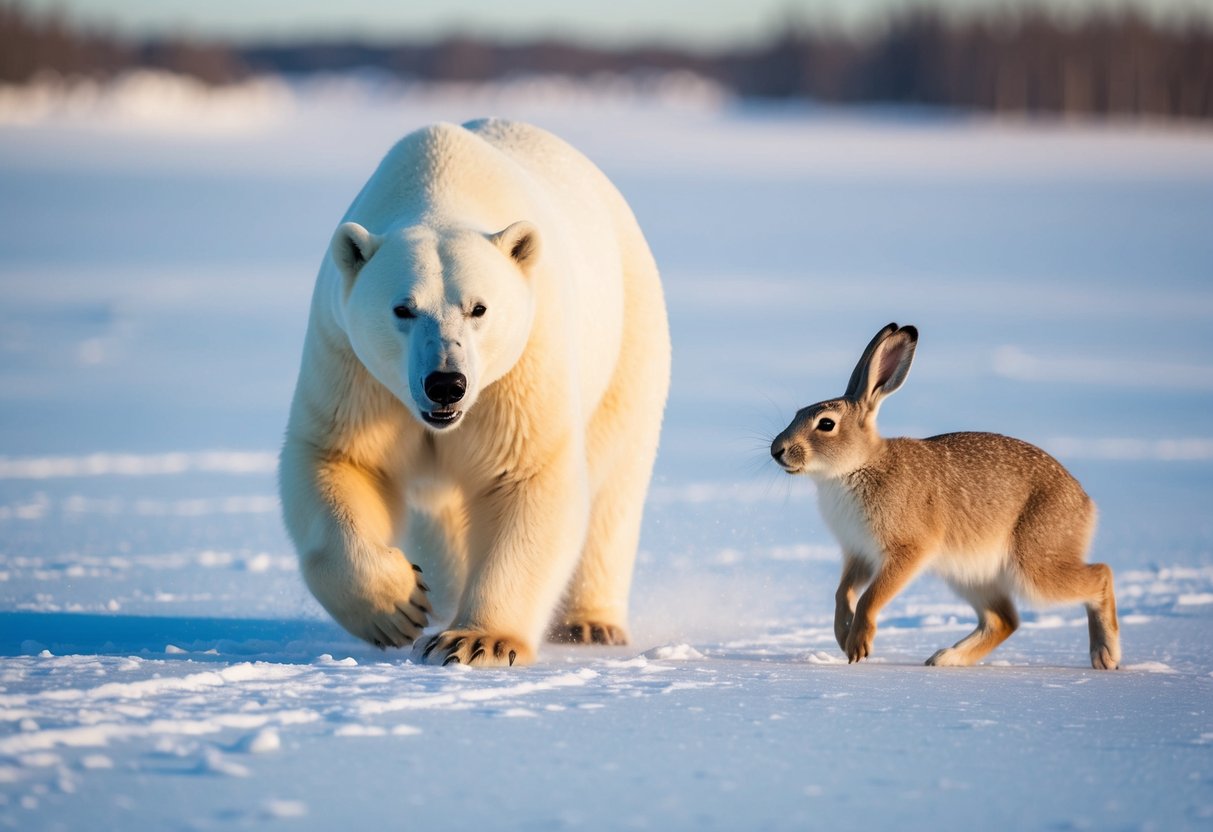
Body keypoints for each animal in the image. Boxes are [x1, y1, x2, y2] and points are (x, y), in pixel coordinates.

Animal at [279, 118, 670, 666]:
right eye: (403, 309)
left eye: (479, 308)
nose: (446, 383)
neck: (440, 187)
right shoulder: (353, 368)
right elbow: (339, 460)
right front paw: (398, 607)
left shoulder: (521, 369)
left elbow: (527, 477)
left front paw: (476, 640)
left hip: (629, 341)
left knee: (614, 483)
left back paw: (591, 623)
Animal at [770, 323, 1120, 670]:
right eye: (798, 413)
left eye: (826, 424)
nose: (777, 450)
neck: (857, 466)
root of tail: (1086, 502)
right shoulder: (859, 553)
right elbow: (842, 593)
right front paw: (843, 638)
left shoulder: (908, 550)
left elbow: (871, 596)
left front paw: (858, 646)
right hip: (971, 574)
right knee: (1003, 620)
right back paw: (945, 658)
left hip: (1034, 563)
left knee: (1100, 575)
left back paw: (1105, 655)